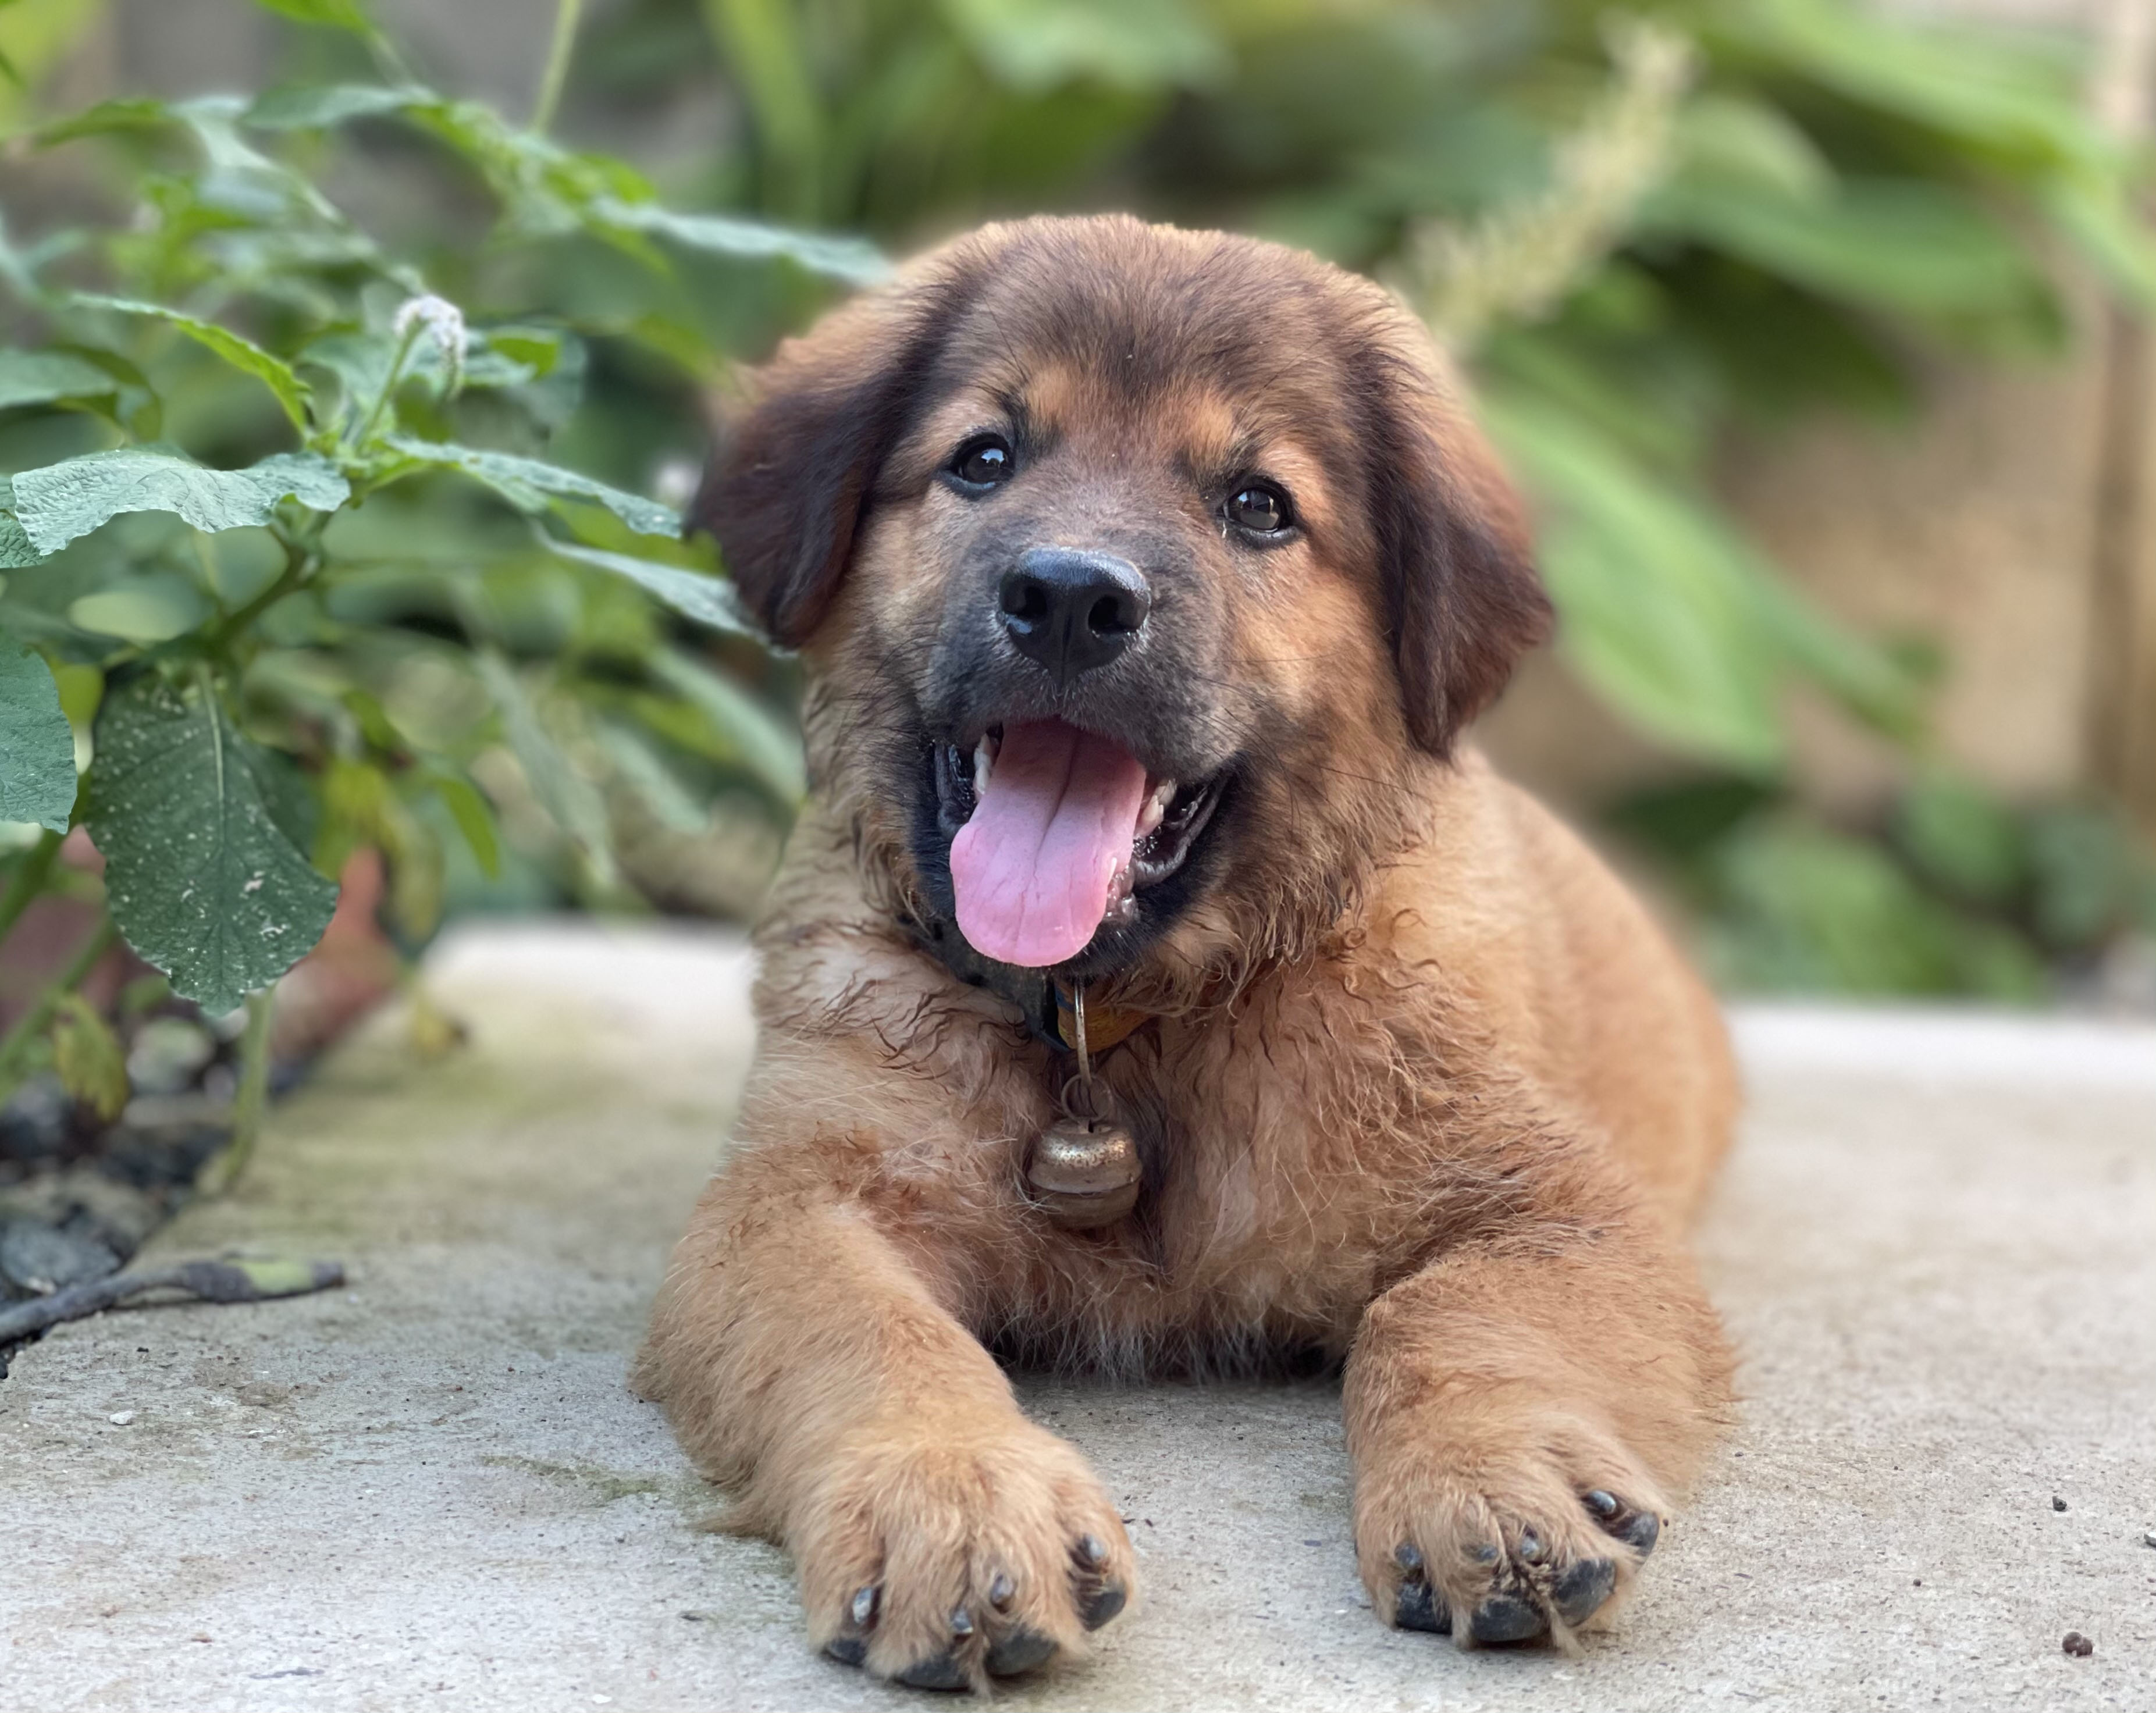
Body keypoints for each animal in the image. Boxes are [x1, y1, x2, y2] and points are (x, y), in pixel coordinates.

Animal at [629, 211, 1742, 1689]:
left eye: (1257, 504)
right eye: (983, 458)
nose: (1065, 598)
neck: (1125, 1029)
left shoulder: (1556, 1202)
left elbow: (1444, 1317)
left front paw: (1491, 1482)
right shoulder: (790, 1200)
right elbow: (869, 1332)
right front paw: (955, 1504)